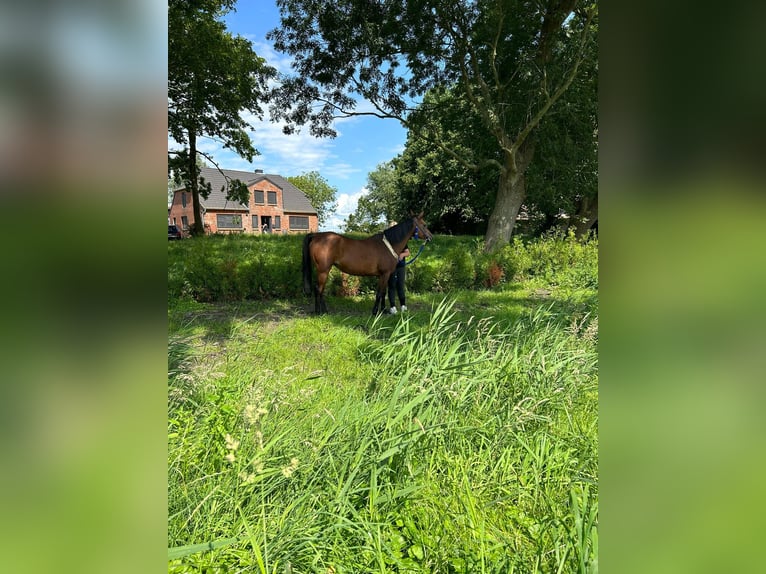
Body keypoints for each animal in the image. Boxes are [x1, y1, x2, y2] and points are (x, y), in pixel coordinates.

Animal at [302, 214, 432, 316]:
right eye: (424, 225)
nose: (431, 237)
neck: (389, 245)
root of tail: (317, 236)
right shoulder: (385, 274)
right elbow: (379, 293)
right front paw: (375, 312)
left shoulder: (383, 275)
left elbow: (383, 293)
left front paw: (383, 311)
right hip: (323, 270)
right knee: (318, 289)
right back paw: (318, 312)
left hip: (324, 271)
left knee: (321, 290)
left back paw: (325, 311)